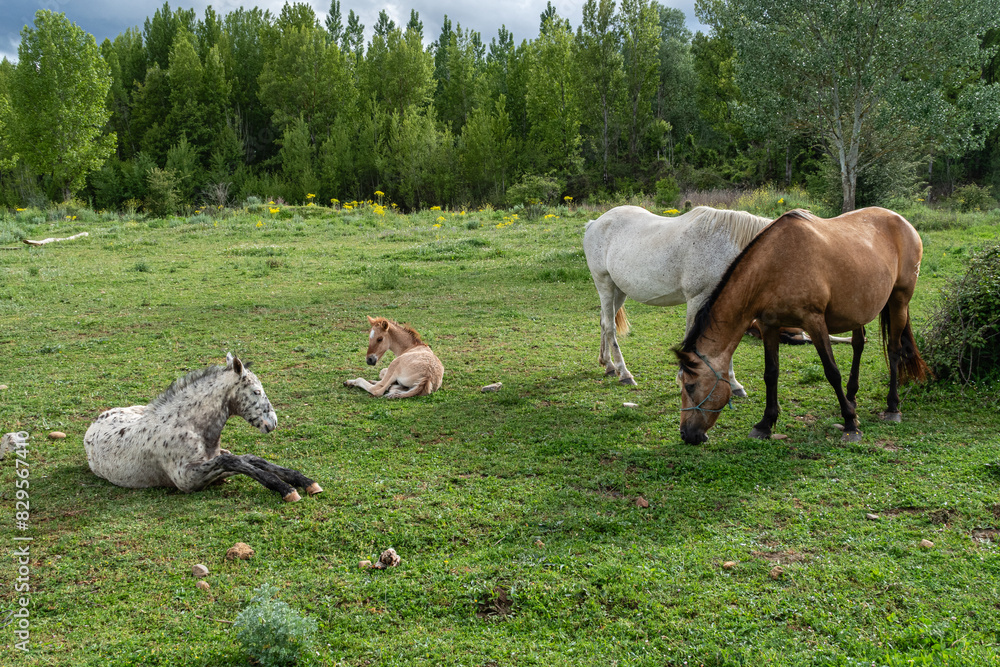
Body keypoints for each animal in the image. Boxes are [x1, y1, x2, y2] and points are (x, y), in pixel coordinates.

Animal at [84, 354, 322, 502]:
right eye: (256, 391)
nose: (272, 422)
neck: (188, 425)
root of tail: (92, 426)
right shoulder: (187, 479)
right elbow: (235, 461)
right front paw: (285, 489)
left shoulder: (215, 461)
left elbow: (249, 459)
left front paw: (305, 481)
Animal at [584, 205, 774, 396]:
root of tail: (594, 223)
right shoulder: (697, 299)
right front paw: (685, 381)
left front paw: (734, 384)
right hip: (605, 285)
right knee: (610, 327)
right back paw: (624, 374)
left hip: (619, 291)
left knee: (604, 321)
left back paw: (608, 365)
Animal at [674, 207, 928, 445]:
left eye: (690, 386)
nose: (687, 434)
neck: (776, 264)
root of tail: (902, 221)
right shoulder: (769, 326)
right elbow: (771, 373)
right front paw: (765, 423)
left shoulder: (814, 322)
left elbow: (832, 372)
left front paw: (850, 423)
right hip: (859, 309)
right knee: (858, 344)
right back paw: (851, 397)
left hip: (899, 300)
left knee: (894, 350)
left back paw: (892, 406)